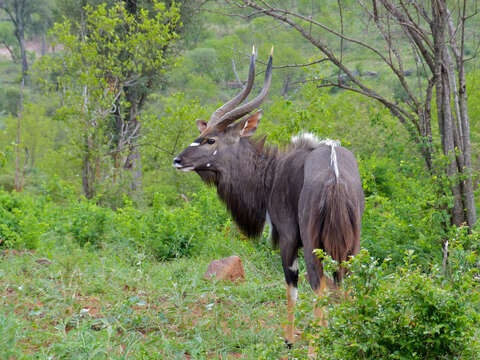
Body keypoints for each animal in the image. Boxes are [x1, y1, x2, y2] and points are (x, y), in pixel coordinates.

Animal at [172, 46, 364, 348]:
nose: (178, 160)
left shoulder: (288, 238)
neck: (273, 173)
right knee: (344, 285)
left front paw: (289, 339)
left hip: (313, 244)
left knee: (318, 284)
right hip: (351, 245)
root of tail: (335, 178)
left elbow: (291, 285)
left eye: (211, 140)